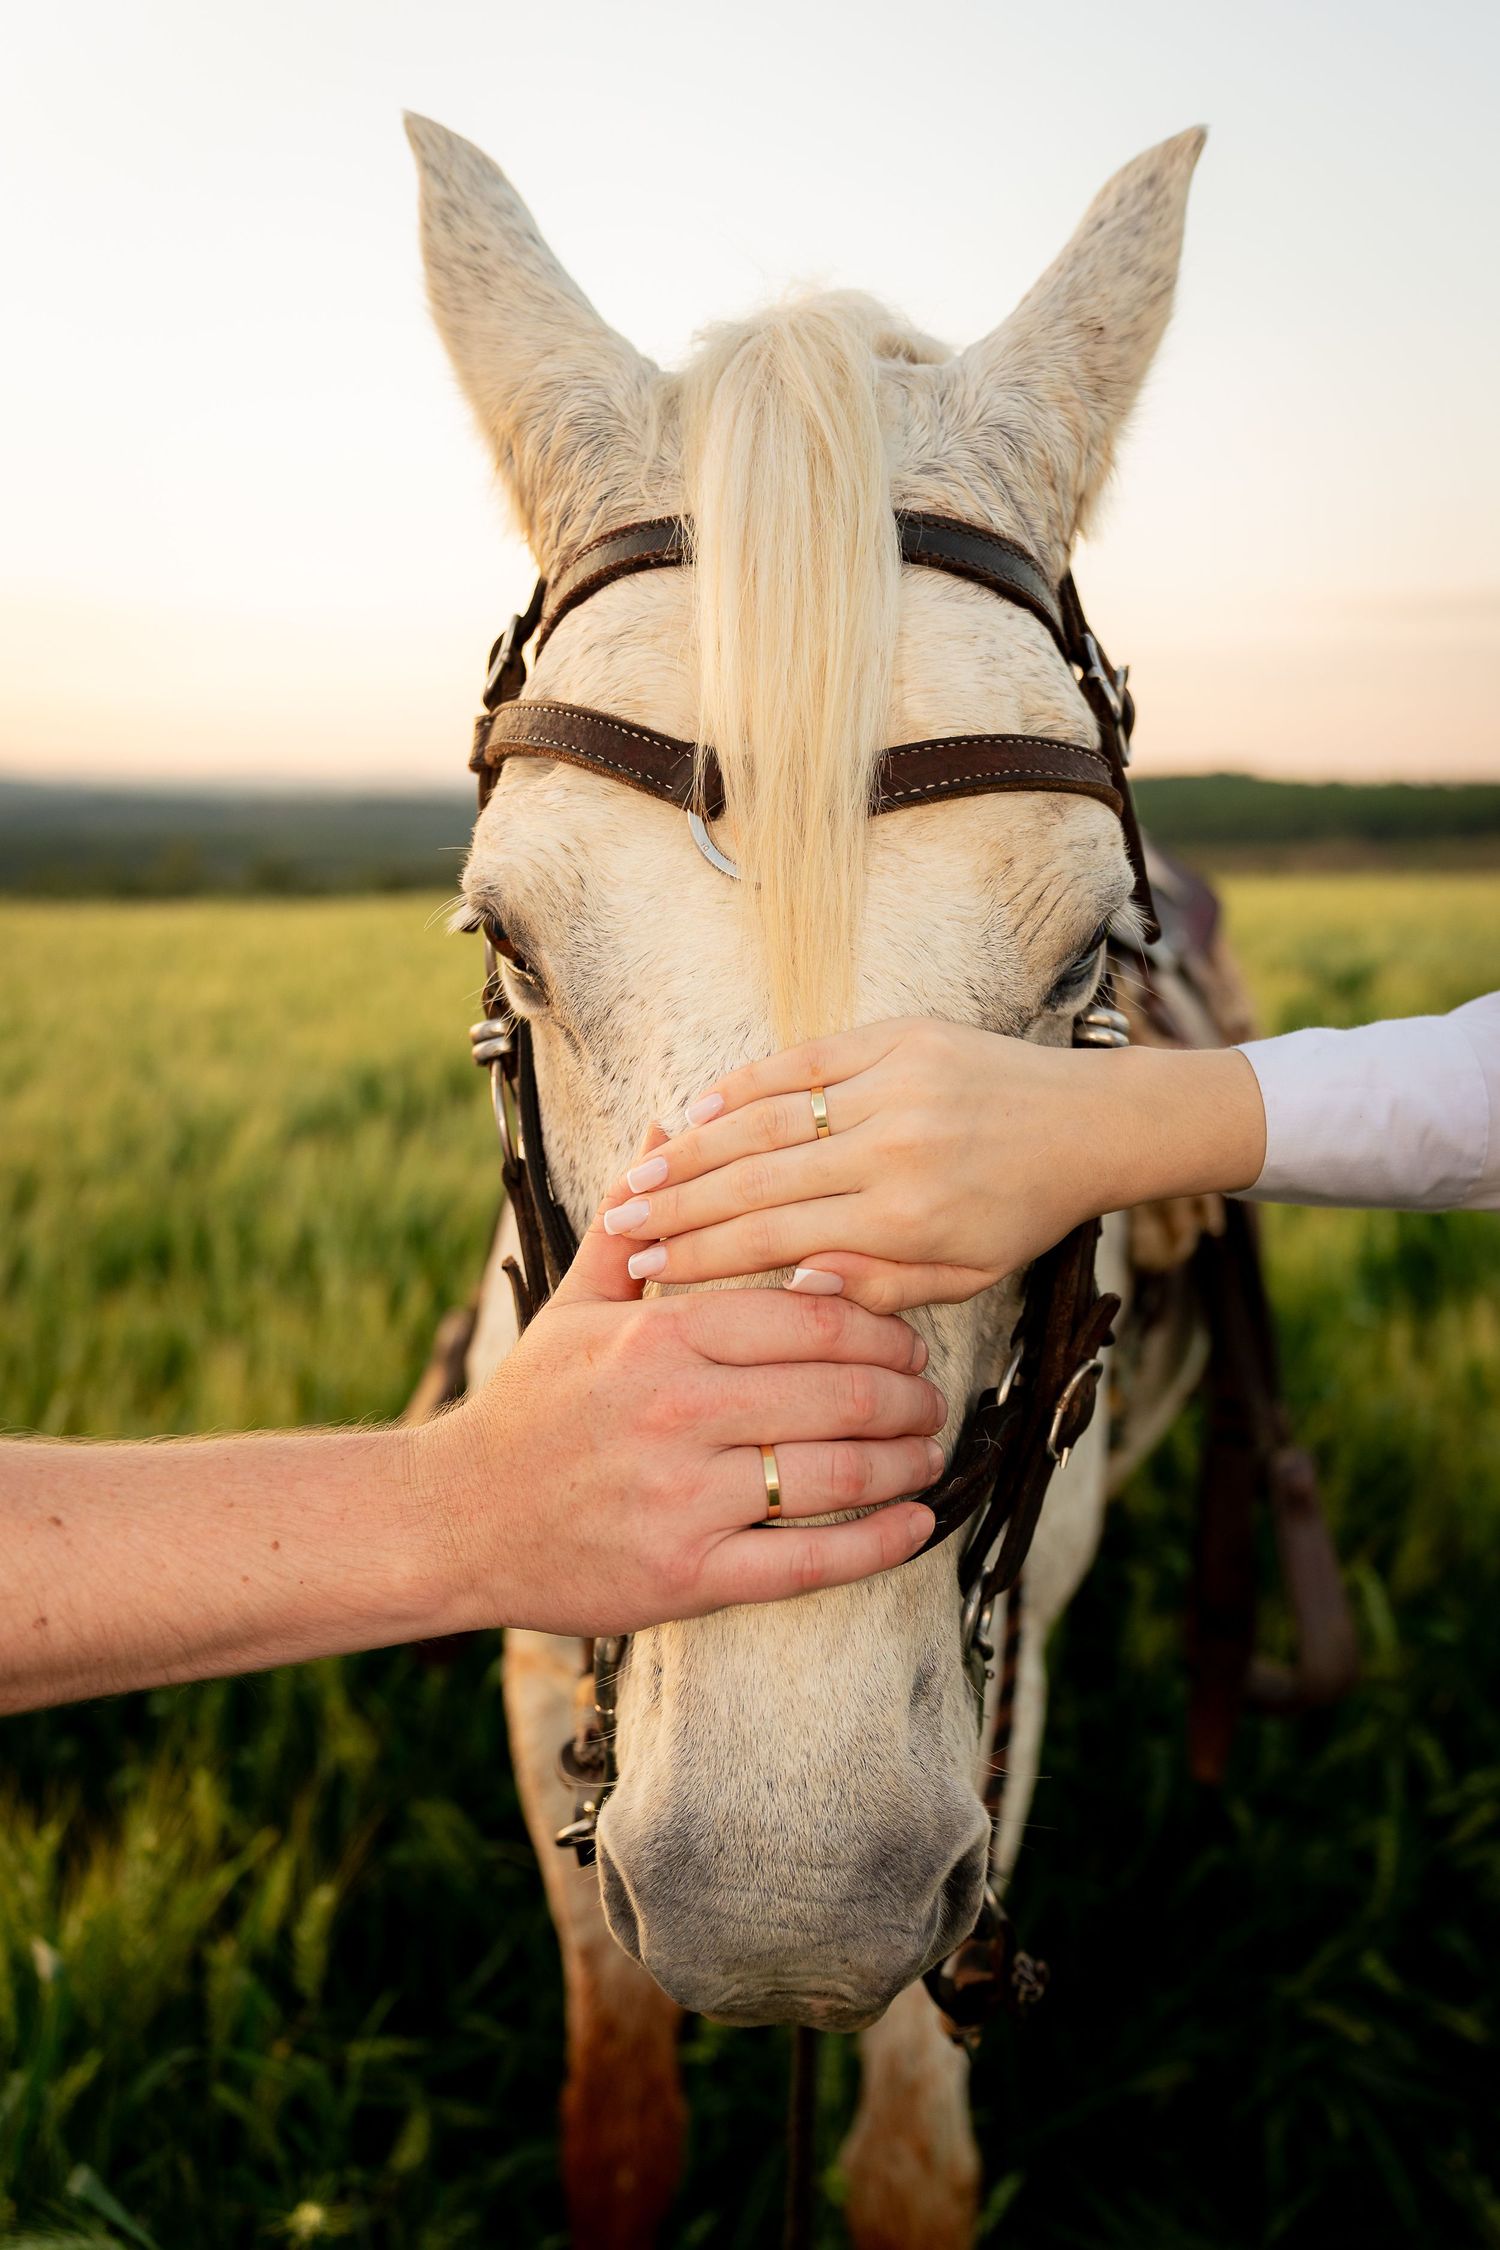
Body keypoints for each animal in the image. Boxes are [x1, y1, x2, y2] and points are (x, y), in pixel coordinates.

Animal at [406, 111, 1214, 2247]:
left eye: (1093, 957)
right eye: (506, 944)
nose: (784, 1901)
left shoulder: (1002, 1712)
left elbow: (912, 2165)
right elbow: (620, 2130)